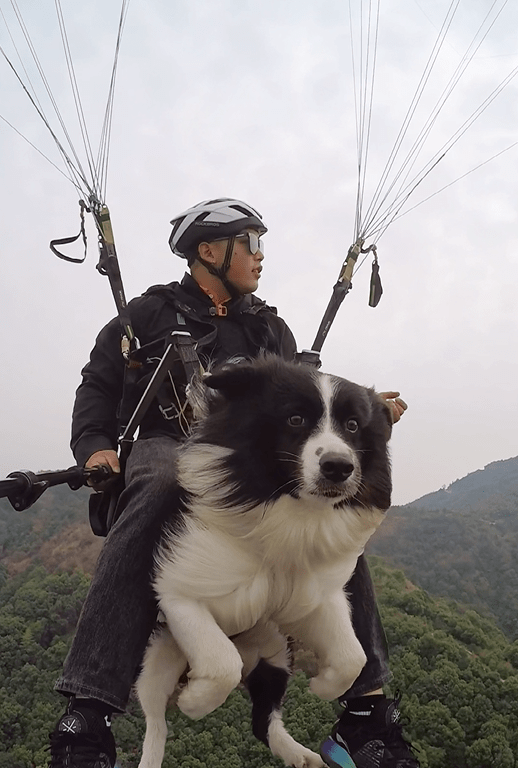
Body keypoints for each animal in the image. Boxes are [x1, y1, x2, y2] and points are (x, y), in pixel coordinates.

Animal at [136, 356, 392, 764]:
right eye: (295, 419)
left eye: (353, 425)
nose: (338, 467)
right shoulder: (180, 592)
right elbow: (222, 663)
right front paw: (193, 700)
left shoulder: (318, 597)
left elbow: (353, 657)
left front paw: (323, 685)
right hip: (157, 661)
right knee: (157, 722)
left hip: (274, 656)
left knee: (264, 720)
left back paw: (300, 755)